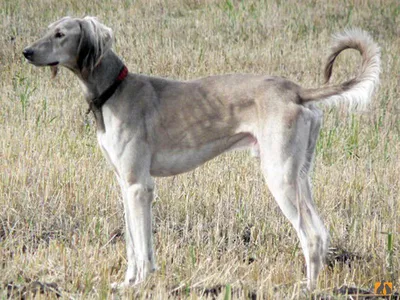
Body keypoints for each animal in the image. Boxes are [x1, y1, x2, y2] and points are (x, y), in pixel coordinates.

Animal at [22, 17, 382, 290]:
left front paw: (139, 284)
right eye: (49, 29)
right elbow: (132, 243)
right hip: (299, 176)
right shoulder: (125, 185)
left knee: (311, 235)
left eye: (60, 34)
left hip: (280, 176)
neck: (115, 89)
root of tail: (296, 90)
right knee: (321, 231)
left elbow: (142, 245)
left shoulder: (139, 186)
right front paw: (128, 282)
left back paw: (306, 289)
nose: (26, 52)